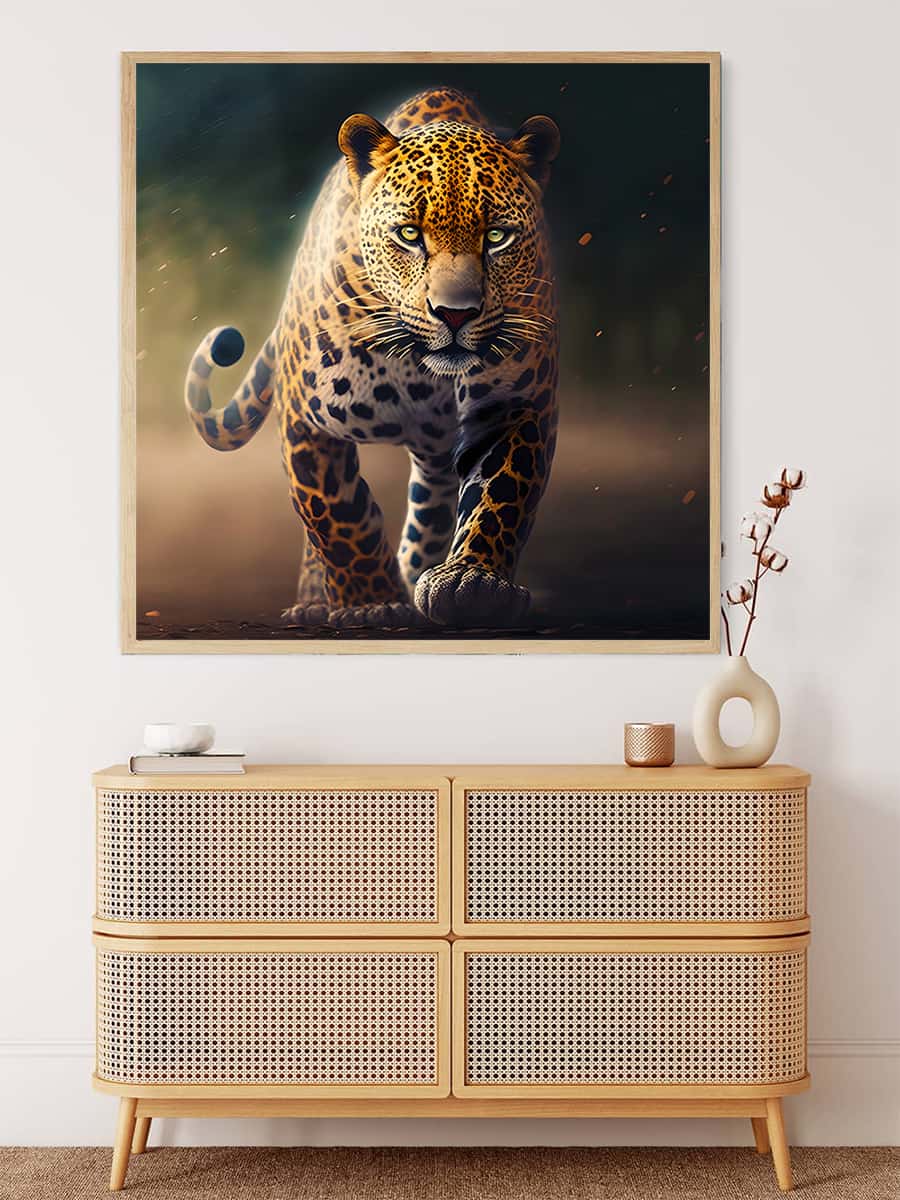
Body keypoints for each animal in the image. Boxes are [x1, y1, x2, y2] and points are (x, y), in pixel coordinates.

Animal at [183, 86, 561, 630]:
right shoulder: (306, 417)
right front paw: (370, 602)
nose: (455, 313)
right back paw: (318, 598)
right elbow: (337, 514)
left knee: (434, 496)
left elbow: (502, 494)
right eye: (409, 234)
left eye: (496, 237)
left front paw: (472, 584)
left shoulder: (513, 407)